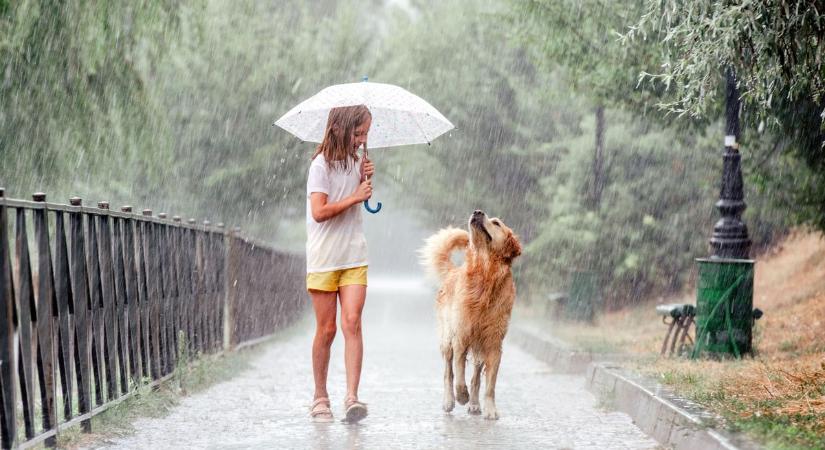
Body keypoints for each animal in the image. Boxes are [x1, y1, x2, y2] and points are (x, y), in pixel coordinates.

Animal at [418, 209, 520, 420]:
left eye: (496, 223)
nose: (478, 212)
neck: (485, 275)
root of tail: (452, 271)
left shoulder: (493, 344)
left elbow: (489, 385)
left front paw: (490, 408)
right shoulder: (461, 338)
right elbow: (458, 375)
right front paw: (461, 396)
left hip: (479, 346)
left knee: (475, 377)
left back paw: (474, 404)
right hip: (447, 339)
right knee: (448, 373)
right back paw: (450, 400)